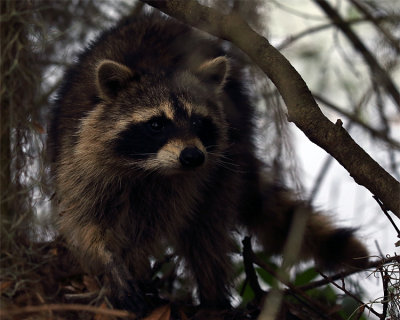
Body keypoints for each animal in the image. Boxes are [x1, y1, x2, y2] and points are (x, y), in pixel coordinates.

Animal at [47, 11, 368, 316]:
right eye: (156, 125)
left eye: (197, 122)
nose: (192, 156)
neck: (151, 169)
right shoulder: (82, 160)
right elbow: (84, 221)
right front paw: (110, 264)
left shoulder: (189, 182)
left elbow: (158, 230)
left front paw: (134, 262)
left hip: (229, 158)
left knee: (207, 229)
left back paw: (214, 299)